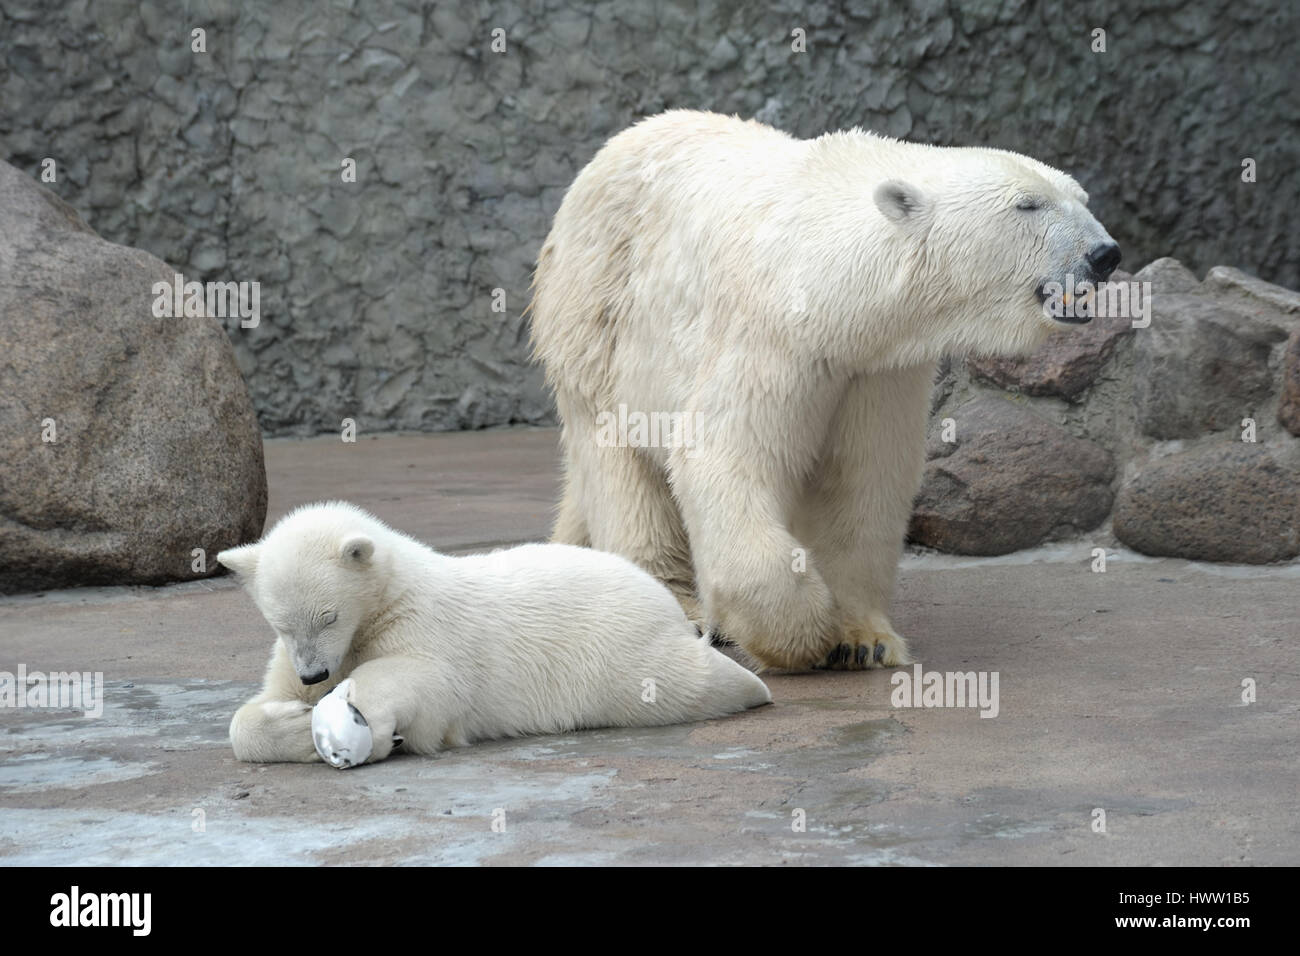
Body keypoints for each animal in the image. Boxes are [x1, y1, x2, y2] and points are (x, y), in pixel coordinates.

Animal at [218, 502, 769, 770]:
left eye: (329, 616)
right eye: (280, 622)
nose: (316, 675)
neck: (387, 597)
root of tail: (660, 596)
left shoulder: (426, 622)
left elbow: (432, 681)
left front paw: (361, 717)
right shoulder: (294, 654)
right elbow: (258, 706)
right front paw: (292, 722)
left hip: (621, 652)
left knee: (685, 682)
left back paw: (750, 684)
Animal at [527, 110, 1118, 671]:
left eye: (1082, 197)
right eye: (1028, 205)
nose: (1105, 254)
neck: (835, 284)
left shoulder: (877, 368)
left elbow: (861, 481)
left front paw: (863, 641)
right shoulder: (775, 336)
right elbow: (725, 457)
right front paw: (802, 634)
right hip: (598, 315)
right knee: (620, 465)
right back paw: (679, 607)